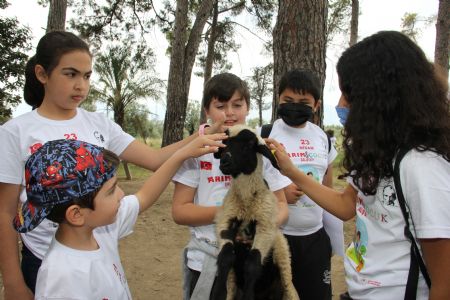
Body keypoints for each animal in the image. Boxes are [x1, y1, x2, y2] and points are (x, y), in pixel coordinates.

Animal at [210, 124, 298, 300]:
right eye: (224, 143)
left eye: (249, 144)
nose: (224, 162)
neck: (246, 201)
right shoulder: (226, 219)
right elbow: (225, 257)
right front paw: (218, 293)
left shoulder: (265, 226)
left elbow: (252, 263)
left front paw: (249, 296)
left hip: (282, 257)